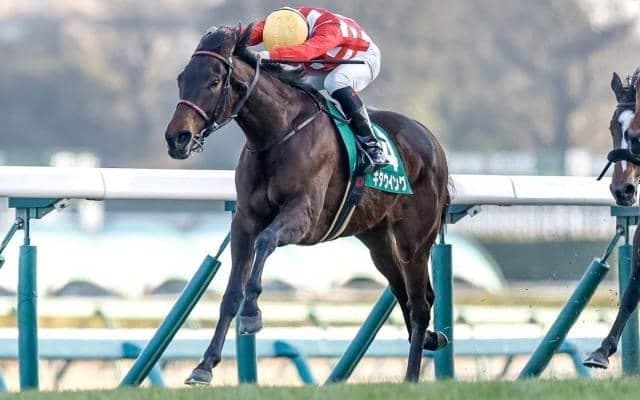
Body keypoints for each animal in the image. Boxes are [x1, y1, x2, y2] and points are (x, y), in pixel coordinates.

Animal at [164, 25, 450, 384]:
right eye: (181, 78)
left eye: (215, 80)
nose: (177, 138)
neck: (277, 134)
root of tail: (433, 142)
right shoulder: (244, 220)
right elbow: (231, 293)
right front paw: (204, 366)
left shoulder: (304, 216)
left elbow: (266, 241)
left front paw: (252, 312)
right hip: (378, 242)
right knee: (405, 294)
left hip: (414, 241)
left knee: (419, 305)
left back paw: (411, 377)